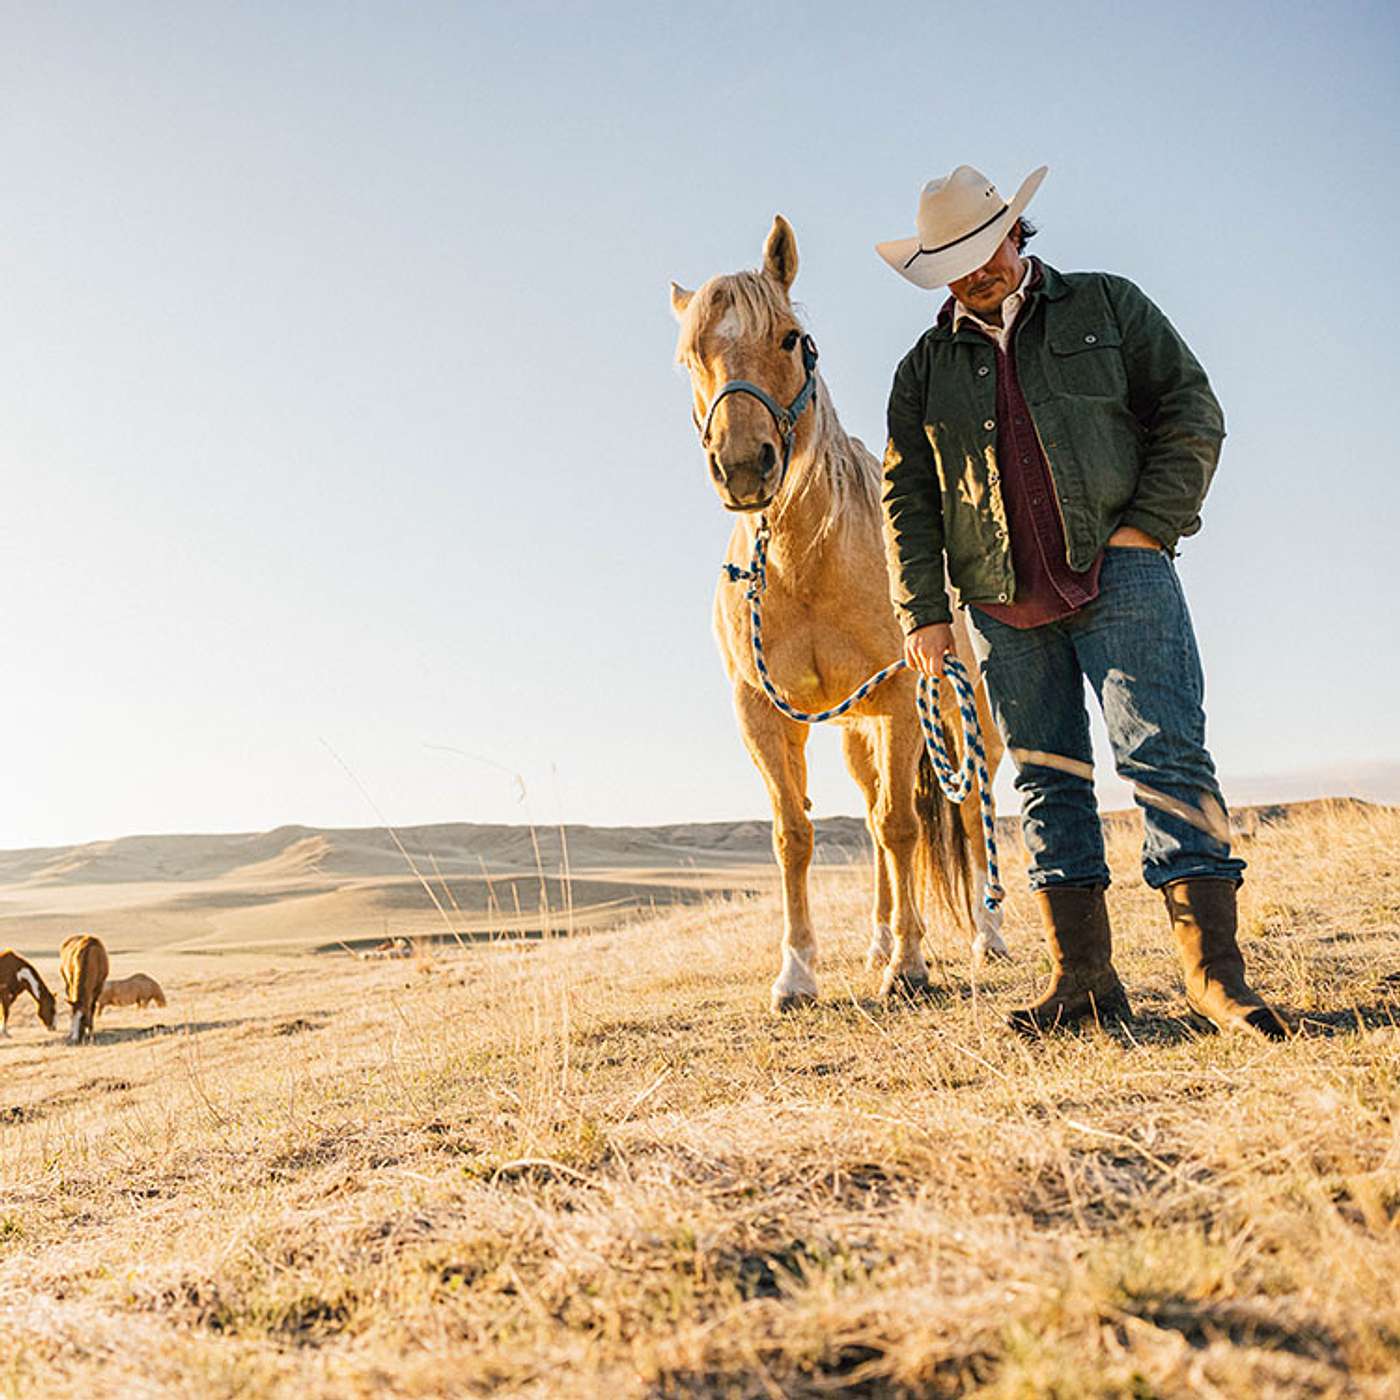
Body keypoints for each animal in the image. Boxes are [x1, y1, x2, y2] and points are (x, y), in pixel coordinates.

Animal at [669, 212, 1008, 1013]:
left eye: (792, 337)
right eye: (689, 357)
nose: (743, 467)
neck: (805, 561)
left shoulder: (903, 695)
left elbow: (900, 825)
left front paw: (910, 967)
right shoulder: (761, 711)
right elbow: (795, 832)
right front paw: (797, 973)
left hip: (965, 715)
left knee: (963, 811)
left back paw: (986, 936)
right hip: (860, 732)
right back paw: (880, 939)